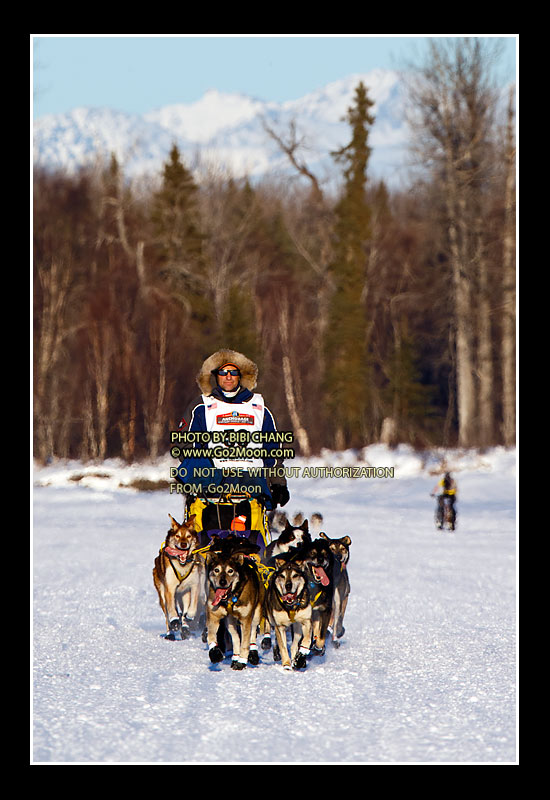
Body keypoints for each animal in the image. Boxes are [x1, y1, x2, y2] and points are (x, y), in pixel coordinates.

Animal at [207, 536, 268, 668]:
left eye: (230, 571)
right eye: (216, 570)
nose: (222, 582)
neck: (231, 596)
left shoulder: (246, 619)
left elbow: (245, 642)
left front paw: (242, 661)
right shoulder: (214, 615)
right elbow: (211, 636)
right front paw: (215, 653)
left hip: (256, 614)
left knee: (252, 635)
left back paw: (252, 654)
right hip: (230, 621)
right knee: (235, 638)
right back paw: (235, 657)